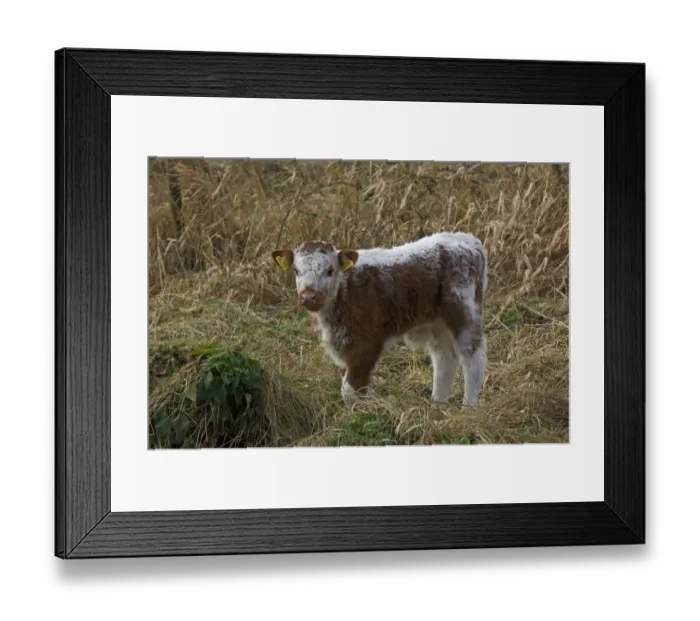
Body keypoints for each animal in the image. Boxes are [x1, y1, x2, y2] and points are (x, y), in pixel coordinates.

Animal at [271, 232, 487, 406]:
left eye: (329, 271)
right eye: (296, 271)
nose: (308, 297)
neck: (345, 290)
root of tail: (468, 240)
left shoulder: (368, 343)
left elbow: (350, 391)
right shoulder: (343, 345)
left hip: (464, 311)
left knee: (473, 359)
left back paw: (468, 408)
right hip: (437, 323)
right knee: (444, 359)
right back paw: (437, 406)